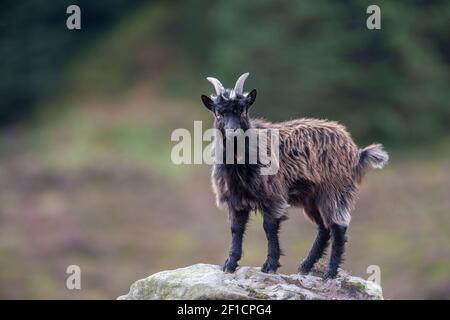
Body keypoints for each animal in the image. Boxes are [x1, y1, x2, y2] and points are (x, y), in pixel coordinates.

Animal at [200, 72, 386, 278]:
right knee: (323, 228)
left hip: (333, 191)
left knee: (338, 226)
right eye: (219, 113)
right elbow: (236, 229)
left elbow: (269, 227)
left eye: (243, 111)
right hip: (312, 198)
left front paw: (270, 265)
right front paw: (230, 264)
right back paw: (306, 266)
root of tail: (356, 152)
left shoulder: (273, 196)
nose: (232, 132)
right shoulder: (236, 199)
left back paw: (330, 272)